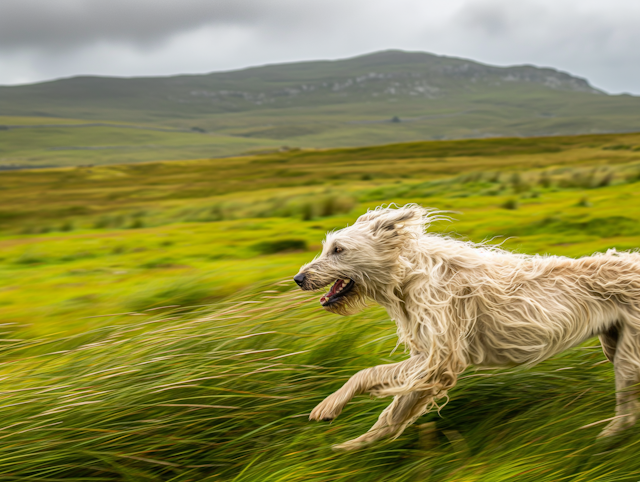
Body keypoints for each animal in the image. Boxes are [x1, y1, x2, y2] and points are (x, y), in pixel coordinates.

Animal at [294, 204, 640, 452]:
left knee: (628, 410)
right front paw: (353, 445)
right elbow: (390, 412)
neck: (408, 275)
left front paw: (331, 409)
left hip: (627, 355)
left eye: (339, 249)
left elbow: (369, 377)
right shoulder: (428, 359)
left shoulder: (440, 359)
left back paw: (605, 439)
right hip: (614, 345)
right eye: (328, 247)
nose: (298, 279)